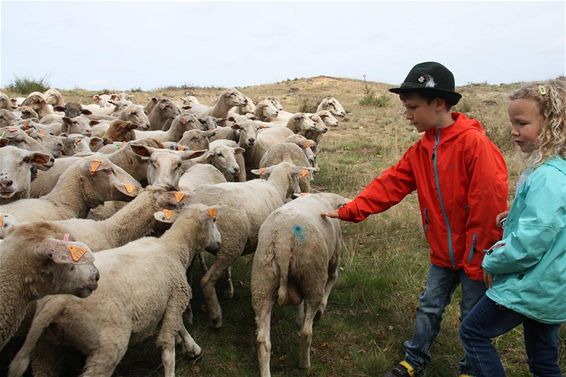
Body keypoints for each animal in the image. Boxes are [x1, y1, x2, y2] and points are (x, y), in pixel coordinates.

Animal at [8, 203, 222, 376]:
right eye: (214, 220)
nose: (220, 242)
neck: (174, 247)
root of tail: (58, 301)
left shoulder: (170, 300)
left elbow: (179, 325)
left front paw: (192, 347)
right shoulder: (178, 295)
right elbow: (168, 349)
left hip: (47, 341)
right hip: (108, 345)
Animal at [253, 192, 350, 374]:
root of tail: (283, 241)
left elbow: (298, 302)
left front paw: (299, 317)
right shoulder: (334, 255)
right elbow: (333, 278)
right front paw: (320, 310)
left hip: (262, 280)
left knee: (262, 341)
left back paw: (266, 371)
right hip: (313, 274)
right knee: (306, 332)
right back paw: (305, 363)